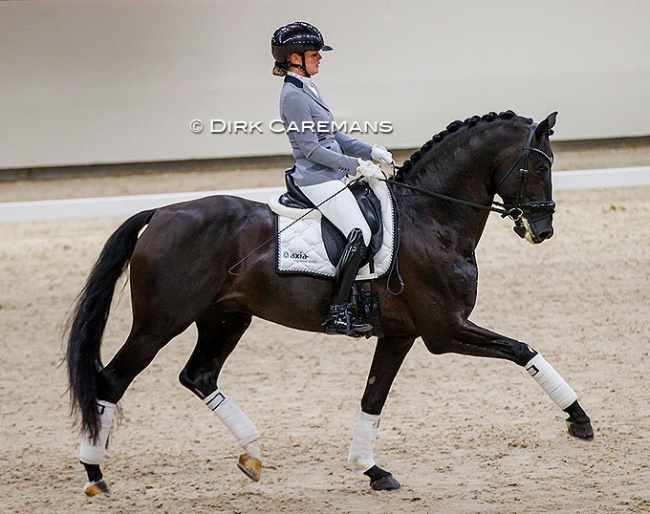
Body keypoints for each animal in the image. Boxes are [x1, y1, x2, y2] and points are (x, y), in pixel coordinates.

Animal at [67, 110, 592, 494]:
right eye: (539, 167)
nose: (542, 230)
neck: (432, 217)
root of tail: (161, 212)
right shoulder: (444, 330)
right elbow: (522, 349)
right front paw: (580, 420)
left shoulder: (402, 334)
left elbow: (373, 397)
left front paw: (370, 469)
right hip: (160, 323)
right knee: (112, 379)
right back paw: (95, 474)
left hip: (227, 318)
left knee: (199, 375)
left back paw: (252, 453)